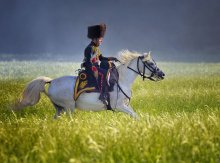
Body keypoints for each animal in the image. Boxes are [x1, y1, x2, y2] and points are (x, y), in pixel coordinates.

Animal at [16, 50, 165, 119]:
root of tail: (51, 82)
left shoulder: (126, 105)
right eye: (150, 63)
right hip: (69, 107)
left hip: (60, 109)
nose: (162, 74)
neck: (122, 80)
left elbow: (136, 115)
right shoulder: (119, 106)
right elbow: (135, 116)